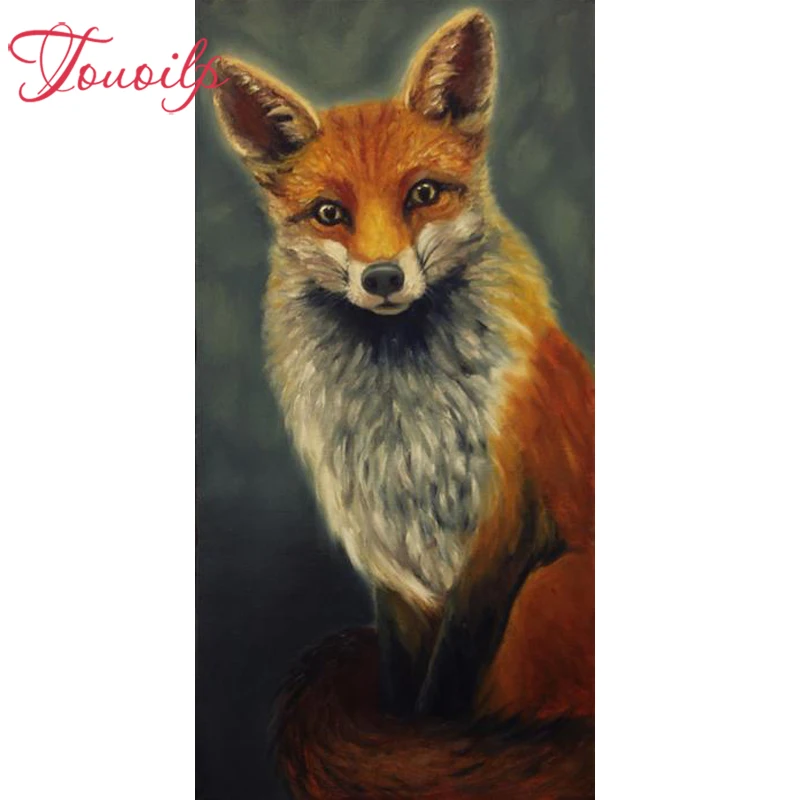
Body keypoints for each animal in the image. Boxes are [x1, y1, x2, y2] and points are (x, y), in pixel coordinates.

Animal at [212, 8, 594, 799]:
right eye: (330, 213)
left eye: (423, 194)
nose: (384, 278)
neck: (401, 416)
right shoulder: (388, 555)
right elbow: (400, 688)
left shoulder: (500, 535)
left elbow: (446, 693)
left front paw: (427, 754)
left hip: (545, 597)